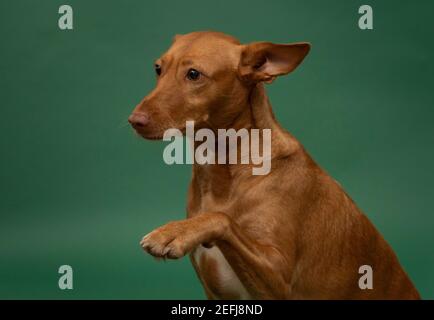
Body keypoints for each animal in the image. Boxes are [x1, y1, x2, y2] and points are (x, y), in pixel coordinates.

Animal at [129, 31, 420, 298]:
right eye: (158, 69)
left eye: (193, 74)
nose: (134, 120)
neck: (221, 170)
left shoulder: (280, 283)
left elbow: (222, 218)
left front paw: (173, 231)